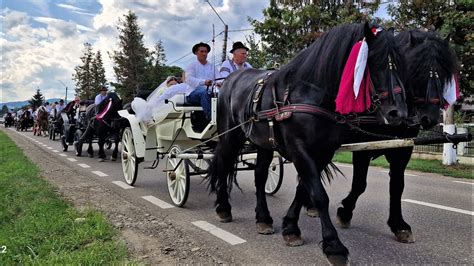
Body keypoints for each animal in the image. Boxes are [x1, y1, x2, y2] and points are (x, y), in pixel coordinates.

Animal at [207, 23, 408, 264]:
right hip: (231, 137)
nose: (398, 113)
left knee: (260, 176)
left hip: (264, 144)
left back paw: (263, 218)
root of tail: (230, 79)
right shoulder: (299, 149)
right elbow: (319, 195)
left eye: (400, 64)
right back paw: (223, 208)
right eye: (375, 62)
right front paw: (334, 246)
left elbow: (304, 188)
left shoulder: (323, 151)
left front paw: (290, 227)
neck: (310, 94)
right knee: (224, 166)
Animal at [336, 30, 458, 242]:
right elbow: (359, 184)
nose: (430, 118)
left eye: (444, 73)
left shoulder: (402, 149)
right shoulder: (362, 147)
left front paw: (399, 225)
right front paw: (345, 212)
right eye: (416, 69)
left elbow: (397, 186)